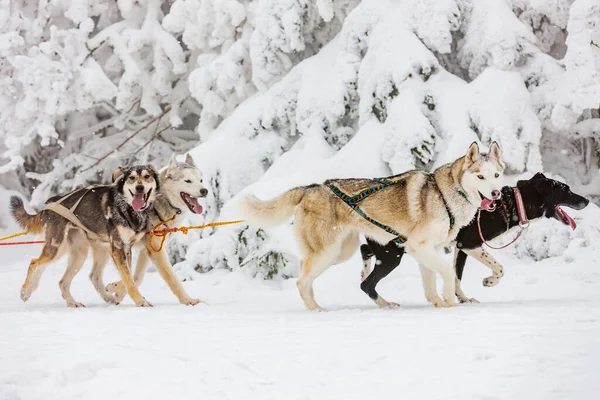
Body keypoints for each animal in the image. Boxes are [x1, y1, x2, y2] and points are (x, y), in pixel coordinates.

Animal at [11, 164, 159, 308]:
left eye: (147, 176)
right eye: (132, 178)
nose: (139, 187)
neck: (128, 209)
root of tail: (50, 203)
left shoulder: (126, 248)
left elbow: (131, 278)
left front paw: (115, 289)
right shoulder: (118, 248)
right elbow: (129, 280)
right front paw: (141, 301)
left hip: (82, 253)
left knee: (69, 280)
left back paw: (74, 302)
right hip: (57, 247)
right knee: (34, 262)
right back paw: (26, 291)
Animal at [106, 155, 210, 304]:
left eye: (201, 180)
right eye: (188, 181)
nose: (204, 190)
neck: (158, 205)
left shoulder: (147, 250)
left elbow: (136, 278)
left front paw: (116, 292)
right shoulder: (157, 252)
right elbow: (173, 279)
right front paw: (187, 300)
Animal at [241, 142, 504, 310]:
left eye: (497, 175)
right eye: (480, 176)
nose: (496, 193)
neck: (445, 196)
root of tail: (311, 188)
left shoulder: (426, 251)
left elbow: (431, 284)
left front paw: (439, 303)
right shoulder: (420, 247)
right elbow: (449, 273)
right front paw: (450, 301)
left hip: (341, 252)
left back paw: (383, 302)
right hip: (328, 253)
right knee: (302, 282)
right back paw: (317, 310)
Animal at [358, 171, 588, 304]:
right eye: (566, 190)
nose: (586, 201)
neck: (510, 204)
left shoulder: (460, 247)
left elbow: (457, 276)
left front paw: (462, 298)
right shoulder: (470, 244)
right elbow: (499, 268)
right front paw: (489, 281)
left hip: (391, 249)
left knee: (364, 250)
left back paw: (364, 272)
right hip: (392, 256)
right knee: (366, 285)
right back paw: (385, 302)